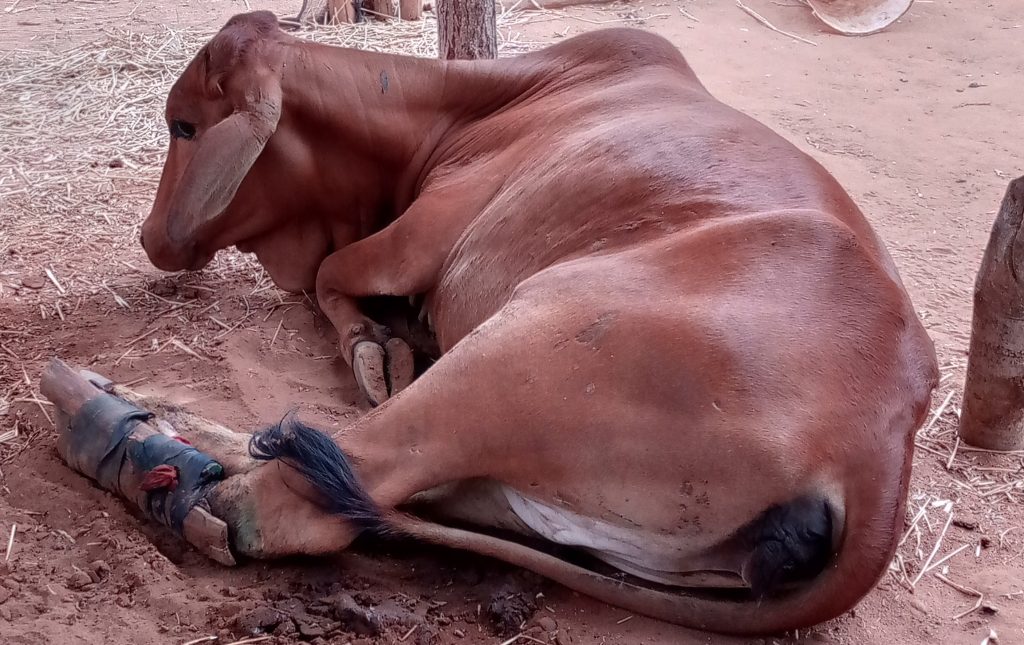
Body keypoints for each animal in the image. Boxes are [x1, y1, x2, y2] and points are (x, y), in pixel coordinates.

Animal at [134, 10, 937, 638]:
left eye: (185, 124)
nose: (151, 238)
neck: (461, 111)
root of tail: (883, 449)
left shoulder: (415, 239)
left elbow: (332, 275)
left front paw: (374, 348)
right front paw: (385, 341)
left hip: (518, 345)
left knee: (312, 492)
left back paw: (172, 437)